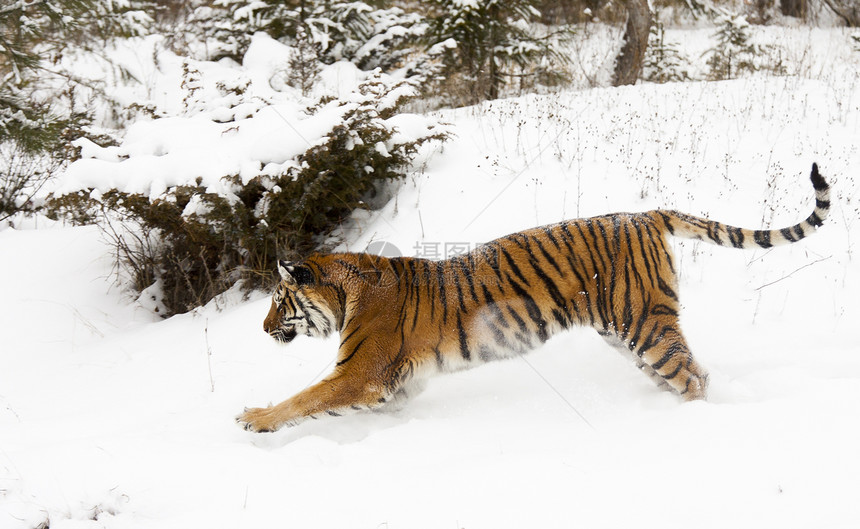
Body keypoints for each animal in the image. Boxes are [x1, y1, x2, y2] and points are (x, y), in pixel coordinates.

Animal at [239, 163, 828, 432]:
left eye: (278, 301)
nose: (262, 330)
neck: (348, 292)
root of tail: (644, 213)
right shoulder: (391, 386)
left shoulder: (360, 373)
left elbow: (305, 397)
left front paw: (254, 418)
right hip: (628, 333)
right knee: (686, 373)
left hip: (645, 325)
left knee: (694, 378)